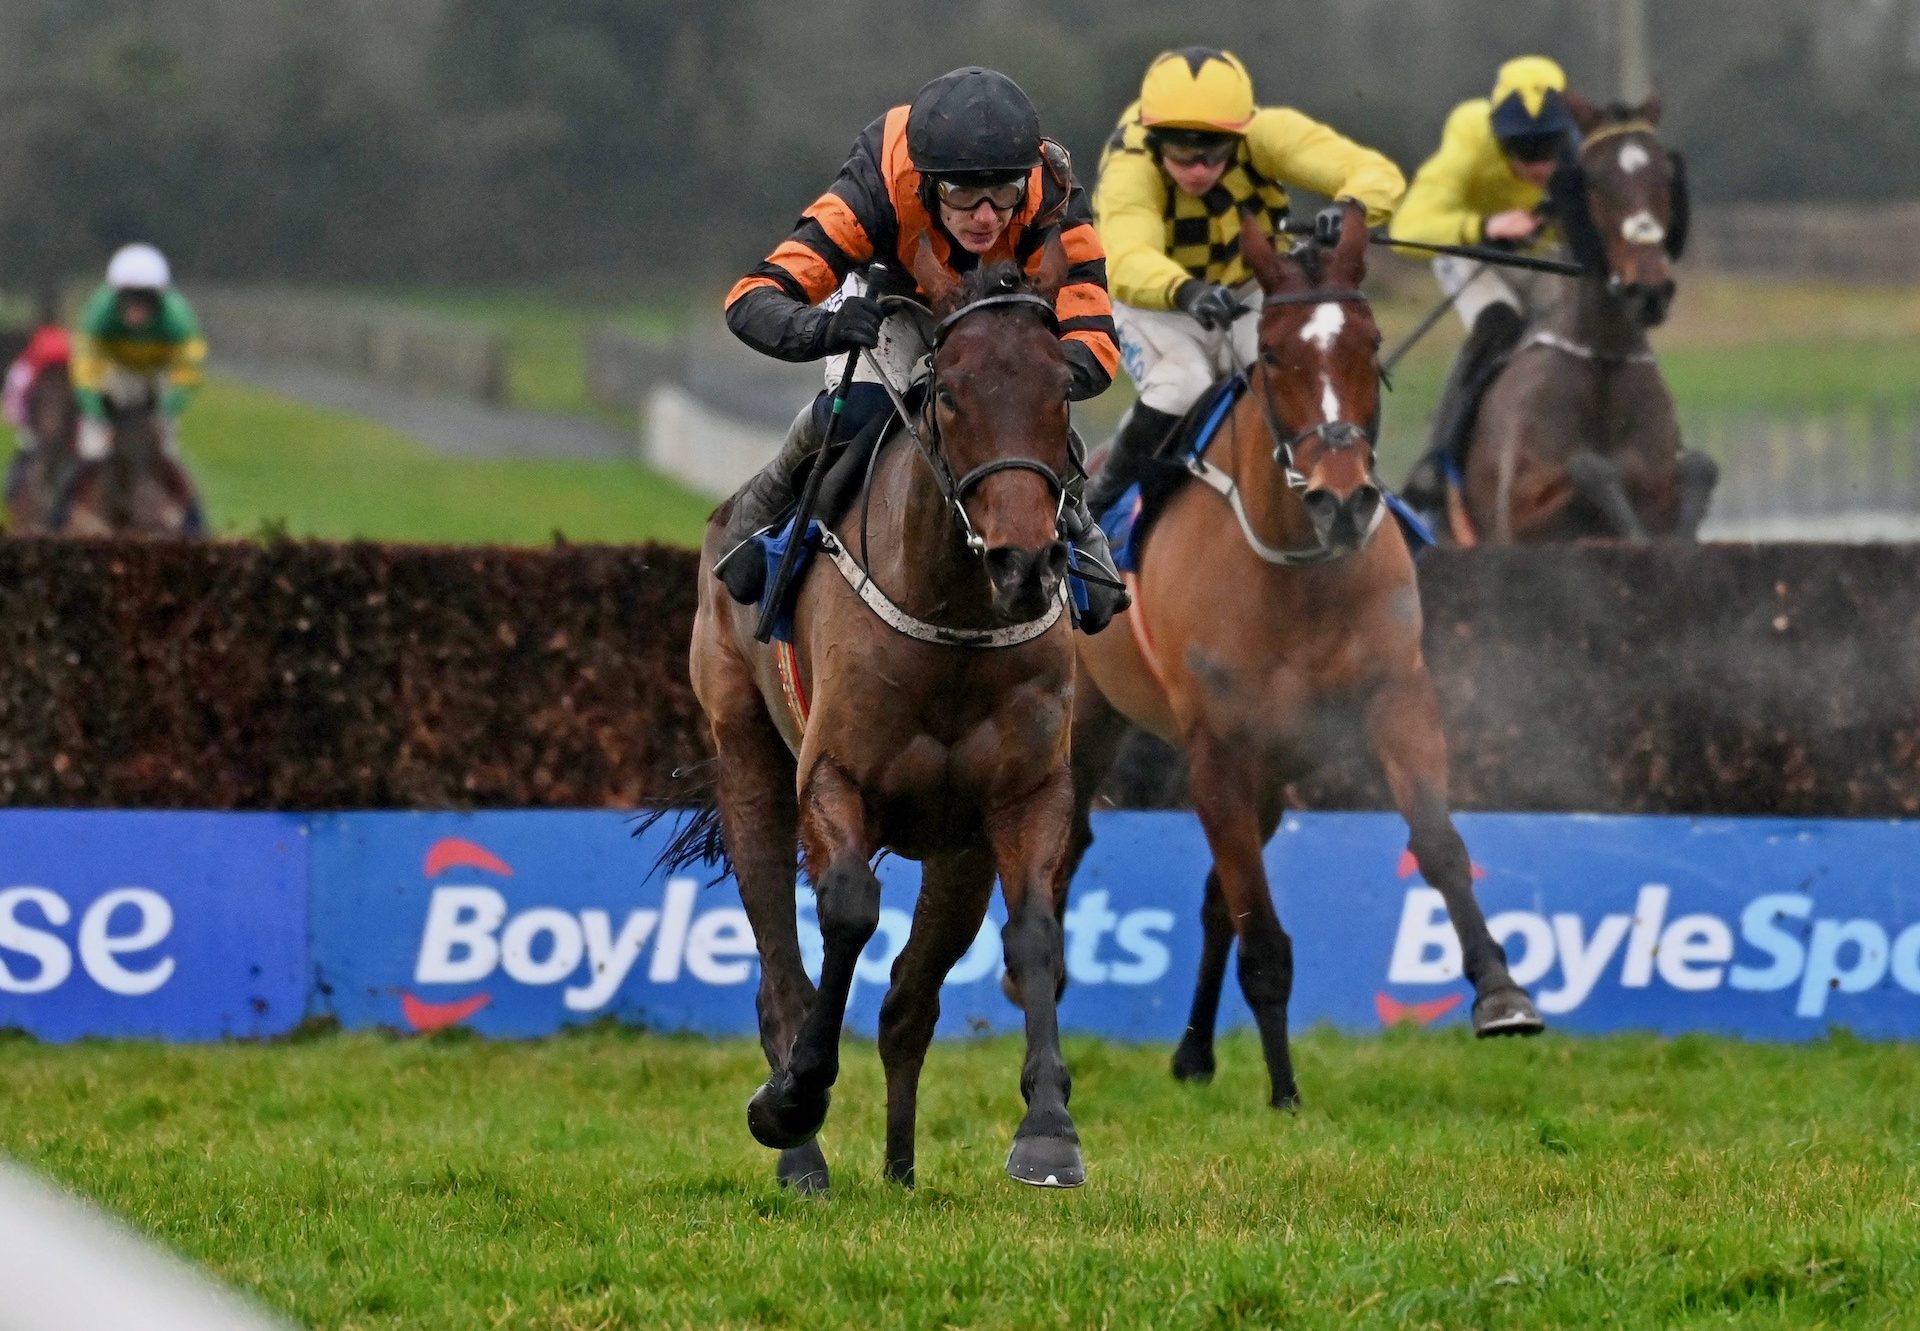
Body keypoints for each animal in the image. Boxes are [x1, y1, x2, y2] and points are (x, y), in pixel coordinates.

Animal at [1075, 207, 1536, 1113]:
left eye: (1370, 342)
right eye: (1278, 355)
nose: (1343, 498)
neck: (1297, 568)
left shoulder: (1396, 700)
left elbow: (1439, 844)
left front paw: (1500, 991)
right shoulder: (1219, 748)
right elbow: (1260, 927)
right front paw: (1285, 1088)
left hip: (1272, 772)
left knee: (1215, 898)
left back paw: (1193, 1052)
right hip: (1089, 719)